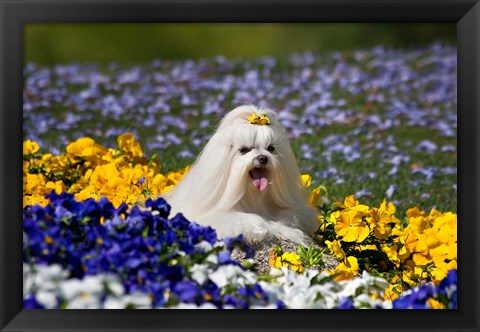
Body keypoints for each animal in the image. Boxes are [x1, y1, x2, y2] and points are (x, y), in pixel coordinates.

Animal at [164, 105, 318, 245]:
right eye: (244, 150)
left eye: (271, 148)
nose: (263, 158)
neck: (252, 195)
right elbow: (239, 219)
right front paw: (258, 230)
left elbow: (291, 216)